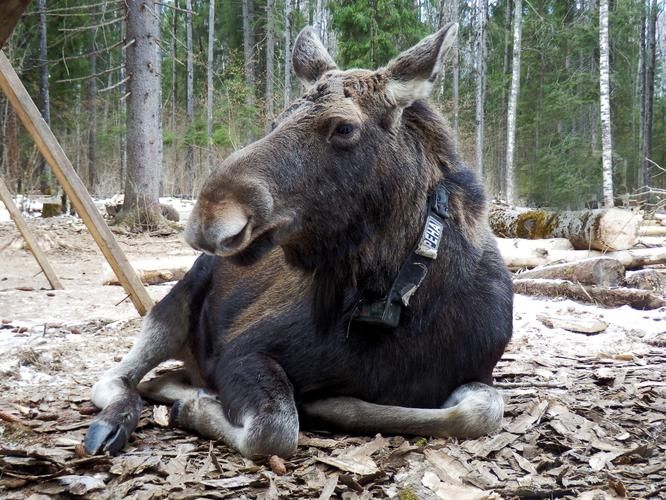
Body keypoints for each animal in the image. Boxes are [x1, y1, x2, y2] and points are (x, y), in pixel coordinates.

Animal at [81, 24, 508, 460]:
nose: (208, 218)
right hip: (175, 303)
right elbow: (276, 429)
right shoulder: (242, 351)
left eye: (344, 127)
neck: (404, 303)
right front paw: (200, 408)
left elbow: (482, 411)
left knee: (158, 379)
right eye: (276, 120)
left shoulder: (481, 374)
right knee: (117, 377)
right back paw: (118, 421)